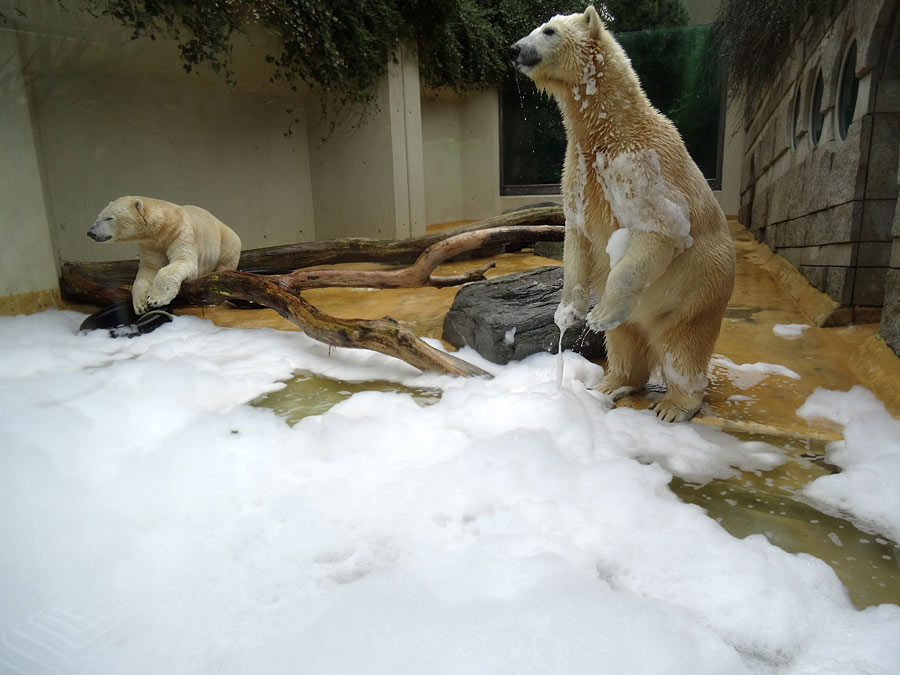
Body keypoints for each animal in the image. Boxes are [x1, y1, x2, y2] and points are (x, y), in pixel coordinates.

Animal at [87, 193, 241, 314]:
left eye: (109, 218)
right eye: (99, 216)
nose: (90, 232)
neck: (163, 227)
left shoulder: (181, 232)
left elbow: (183, 261)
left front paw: (156, 299)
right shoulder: (151, 244)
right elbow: (148, 269)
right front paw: (140, 304)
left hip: (226, 242)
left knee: (225, 263)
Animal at [510, 6, 736, 422]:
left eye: (548, 31)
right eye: (537, 28)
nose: (515, 49)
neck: (609, 128)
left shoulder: (639, 164)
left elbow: (660, 227)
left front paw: (597, 315)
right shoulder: (579, 173)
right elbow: (576, 236)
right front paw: (567, 314)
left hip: (699, 289)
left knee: (683, 346)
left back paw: (673, 406)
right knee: (625, 340)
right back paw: (609, 384)